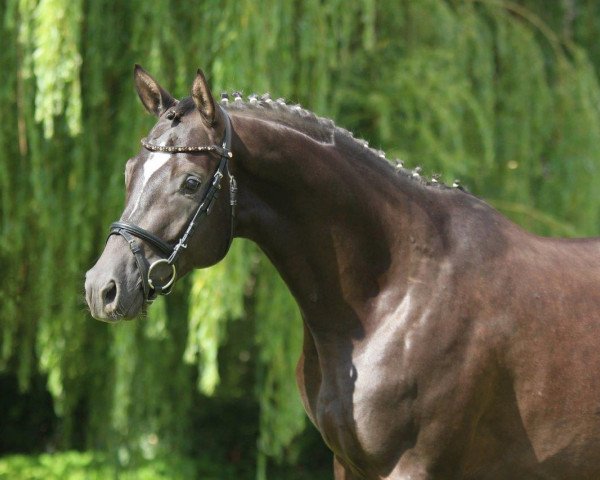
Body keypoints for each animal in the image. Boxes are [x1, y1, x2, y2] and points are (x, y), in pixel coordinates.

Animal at [85, 67, 600, 480]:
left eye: (191, 182)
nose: (102, 288)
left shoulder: (416, 467)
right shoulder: (347, 464)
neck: (397, 294)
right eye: (130, 171)